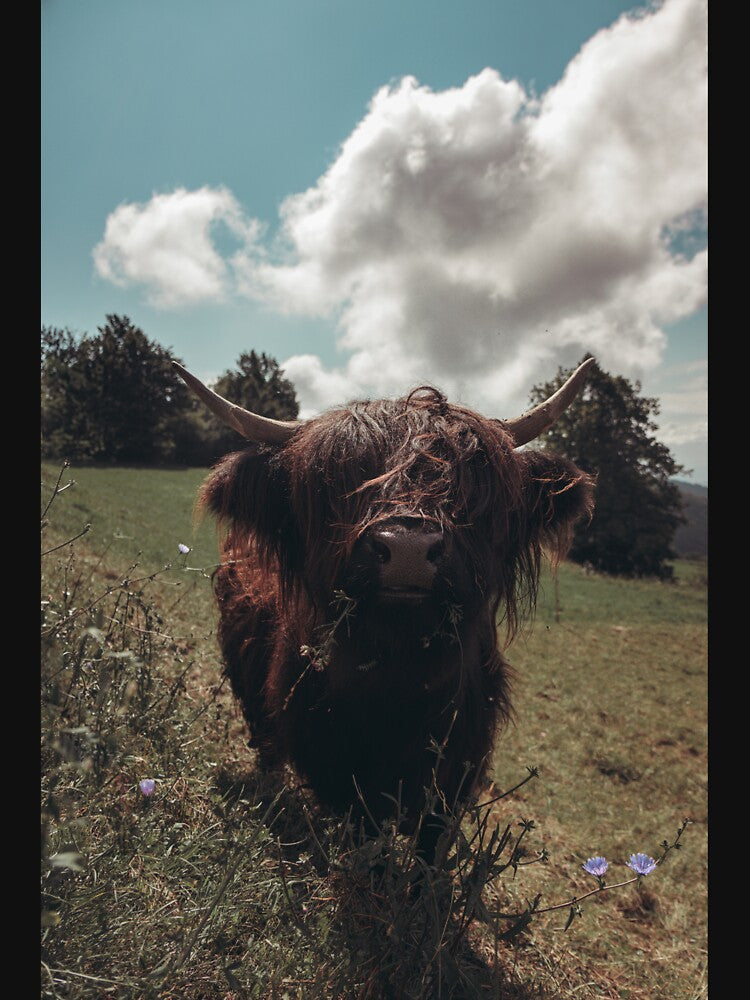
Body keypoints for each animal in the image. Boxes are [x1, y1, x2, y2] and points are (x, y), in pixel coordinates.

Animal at [175, 359, 595, 865]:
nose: (408, 548)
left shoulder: (457, 767)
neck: (398, 679)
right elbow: (364, 832)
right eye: (336, 480)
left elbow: (431, 845)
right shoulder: (334, 762)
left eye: (471, 482)